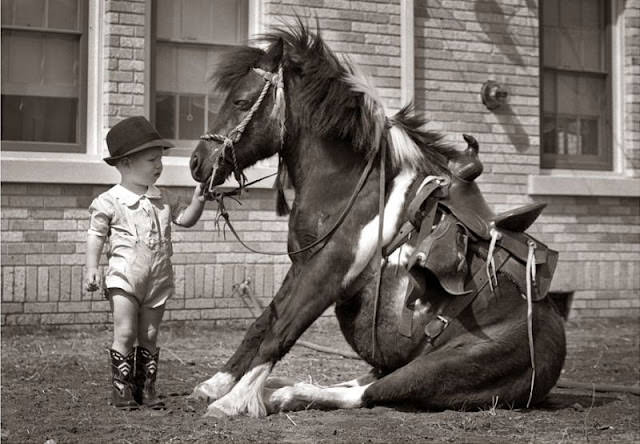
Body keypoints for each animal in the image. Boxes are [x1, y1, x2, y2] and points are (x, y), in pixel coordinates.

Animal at [189, 20, 564, 416]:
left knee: (371, 393)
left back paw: (285, 394)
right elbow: (264, 322)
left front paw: (233, 400)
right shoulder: (303, 265)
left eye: (241, 101)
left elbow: (282, 330)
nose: (197, 162)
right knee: (363, 381)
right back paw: (282, 389)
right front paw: (216, 385)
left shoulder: (327, 273)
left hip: (443, 367)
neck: (345, 185)